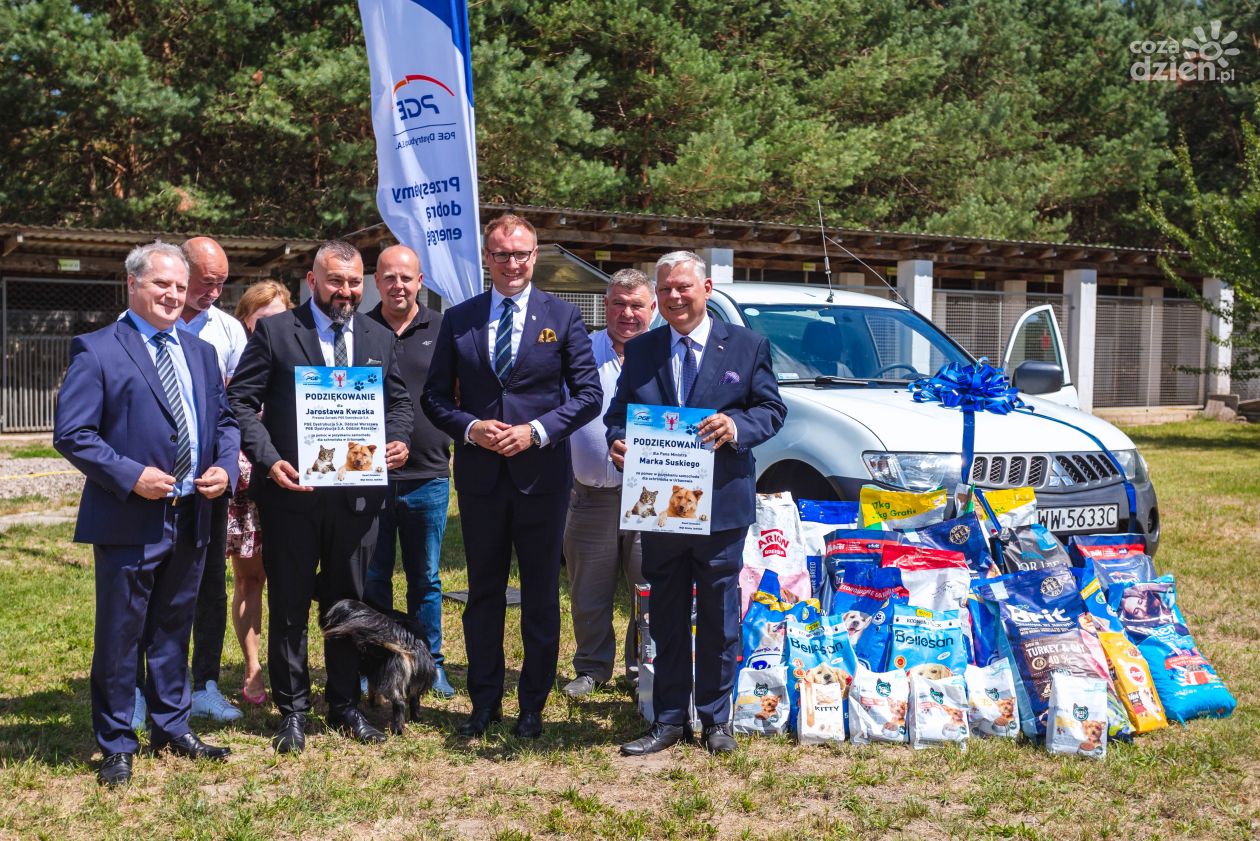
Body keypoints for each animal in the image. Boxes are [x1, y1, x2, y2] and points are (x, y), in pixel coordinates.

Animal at [320, 602, 438, 731]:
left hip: (389, 677)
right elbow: (372, 689)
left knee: (399, 703)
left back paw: (398, 730)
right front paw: (374, 702)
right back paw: (415, 719)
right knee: (414, 700)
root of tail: (408, 638)